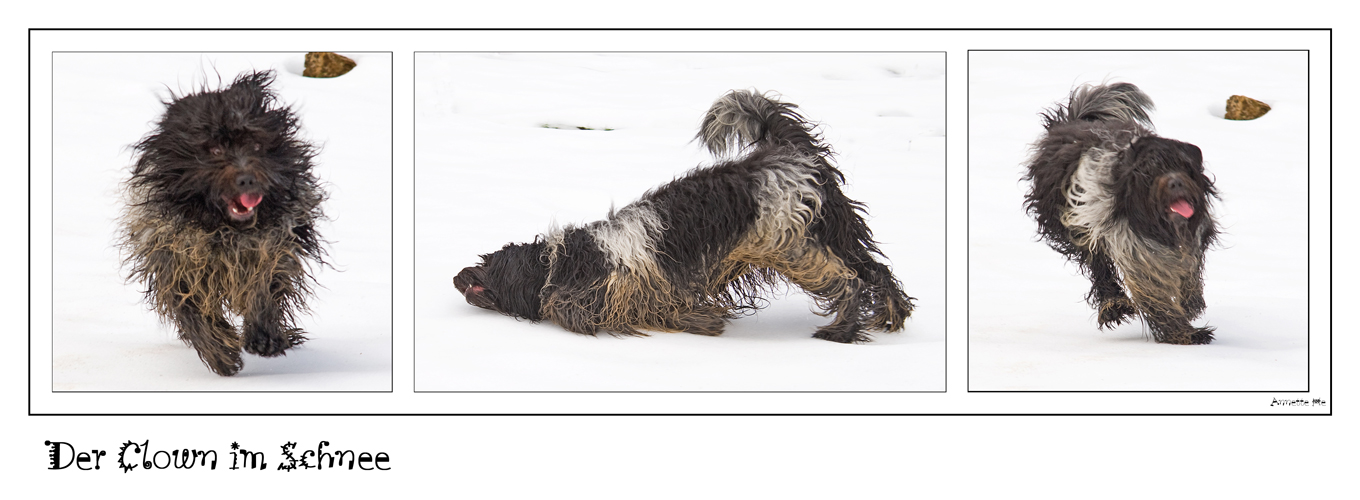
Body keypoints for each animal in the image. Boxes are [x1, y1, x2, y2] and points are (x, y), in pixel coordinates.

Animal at [119, 70, 326, 375]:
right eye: (214, 149)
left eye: (256, 144)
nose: (247, 179)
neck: (226, 231)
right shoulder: (176, 258)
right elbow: (191, 308)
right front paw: (220, 353)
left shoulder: (275, 246)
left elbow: (266, 285)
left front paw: (264, 336)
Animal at [456, 88, 913, 343]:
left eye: (487, 266)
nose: (457, 276)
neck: (563, 260)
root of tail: (790, 153)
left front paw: (707, 322)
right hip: (831, 232)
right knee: (876, 271)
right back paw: (892, 316)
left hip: (795, 247)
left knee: (852, 280)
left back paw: (842, 331)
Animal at [1022, 83, 1224, 345]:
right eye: (1151, 172)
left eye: (1182, 165)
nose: (1176, 183)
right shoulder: (1132, 245)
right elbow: (1154, 292)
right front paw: (1184, 333)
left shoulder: (1192, 238)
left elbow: (1188, 271)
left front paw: (1190, 304)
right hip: (1075, 226)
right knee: (1099, 266)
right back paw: (1114, 305)